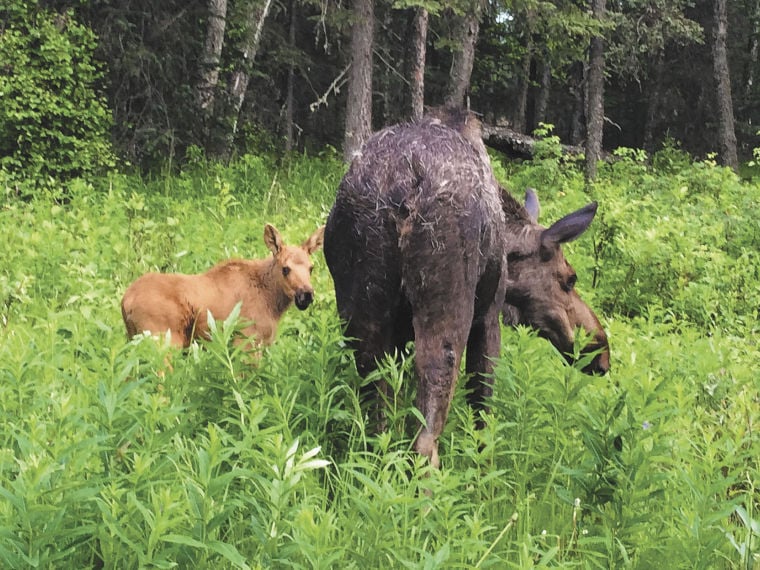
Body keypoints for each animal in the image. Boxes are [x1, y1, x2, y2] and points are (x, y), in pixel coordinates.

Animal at [324, 107, 608, 466]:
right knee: (424, 443)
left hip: (363, 320)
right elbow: (483, 412)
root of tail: (400, 191)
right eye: (569, 279)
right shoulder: (489, 316)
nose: (602, 351)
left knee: (376, 431)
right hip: (448, 312)